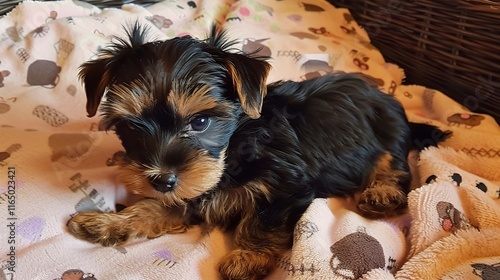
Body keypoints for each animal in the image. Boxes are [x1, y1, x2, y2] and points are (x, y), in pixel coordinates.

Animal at [67, 23, 450, 278]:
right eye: (131, 127)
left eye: (201, 122)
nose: (161, 180)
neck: (234, 148)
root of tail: (384, 95)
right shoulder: (194, 186)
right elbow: (153, 206)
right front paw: (108, 222)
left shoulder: (287, 185)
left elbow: (262, 220)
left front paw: (246, 258)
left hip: (387, 132)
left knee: (392, 163)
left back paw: (381, 193)